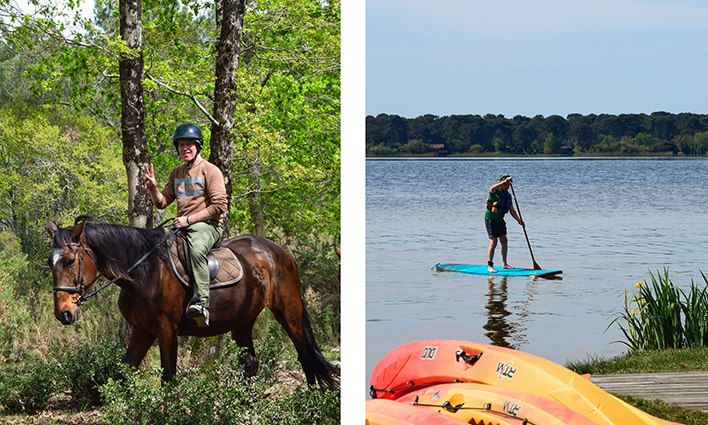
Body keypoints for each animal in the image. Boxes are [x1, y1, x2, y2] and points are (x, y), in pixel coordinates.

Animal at [47, 215, 340, 388]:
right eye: (50, 263)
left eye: (70, 261)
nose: (63, 313)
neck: (143, 273)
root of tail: (281, 253)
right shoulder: (142, 331)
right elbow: (123, 373)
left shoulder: (166, 330)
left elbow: (169, 378)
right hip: (243, 321)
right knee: (251, 363)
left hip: (288, 312)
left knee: (304, 356)